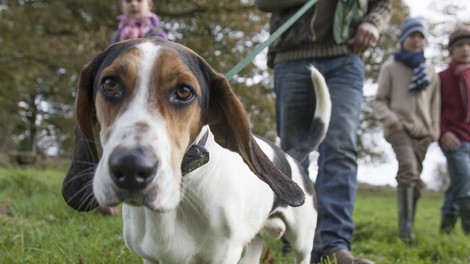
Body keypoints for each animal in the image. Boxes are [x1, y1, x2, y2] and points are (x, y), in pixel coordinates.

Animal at [62, 37, 330, 264]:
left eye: (184, 91)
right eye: (109, 84)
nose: (130, 168)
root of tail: (291, 156)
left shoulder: (223, 255)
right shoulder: (150, 258)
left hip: (301, 240)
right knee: (257, 242)